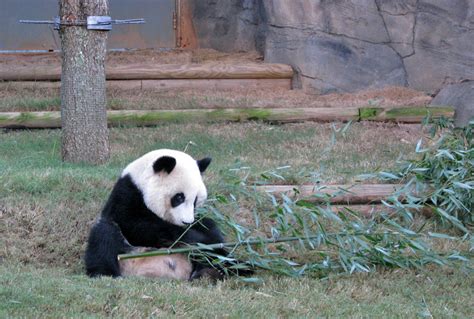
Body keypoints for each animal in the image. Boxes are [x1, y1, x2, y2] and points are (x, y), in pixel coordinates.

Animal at [84, 149, 244, 282]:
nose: (187, 222)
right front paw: (193, 238)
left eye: (195, 200)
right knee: (104, 236)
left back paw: (216, 271)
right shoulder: (126, 197)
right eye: (179, 197)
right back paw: (106, 274)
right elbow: (139, 226)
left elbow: (209, 228)